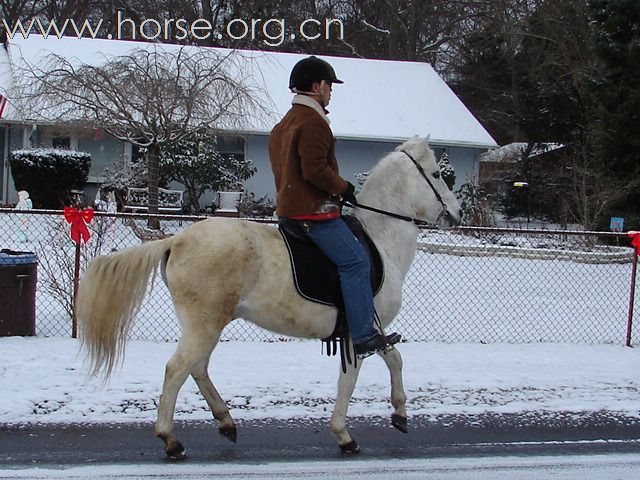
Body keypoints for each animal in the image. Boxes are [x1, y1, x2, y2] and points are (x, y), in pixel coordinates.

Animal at [77, 137, 462, 460]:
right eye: (436, 174)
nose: (457, 214)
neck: (379, 239)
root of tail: (178, 240)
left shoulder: (360, 331)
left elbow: (386, 362)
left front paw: (390, 417)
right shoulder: (362, 328)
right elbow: (369, 371)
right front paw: (354, 431)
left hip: (209, 325)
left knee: (197, 368)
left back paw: (226, 422)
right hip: (204, 325)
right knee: (178, 369)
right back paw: (171, 440)